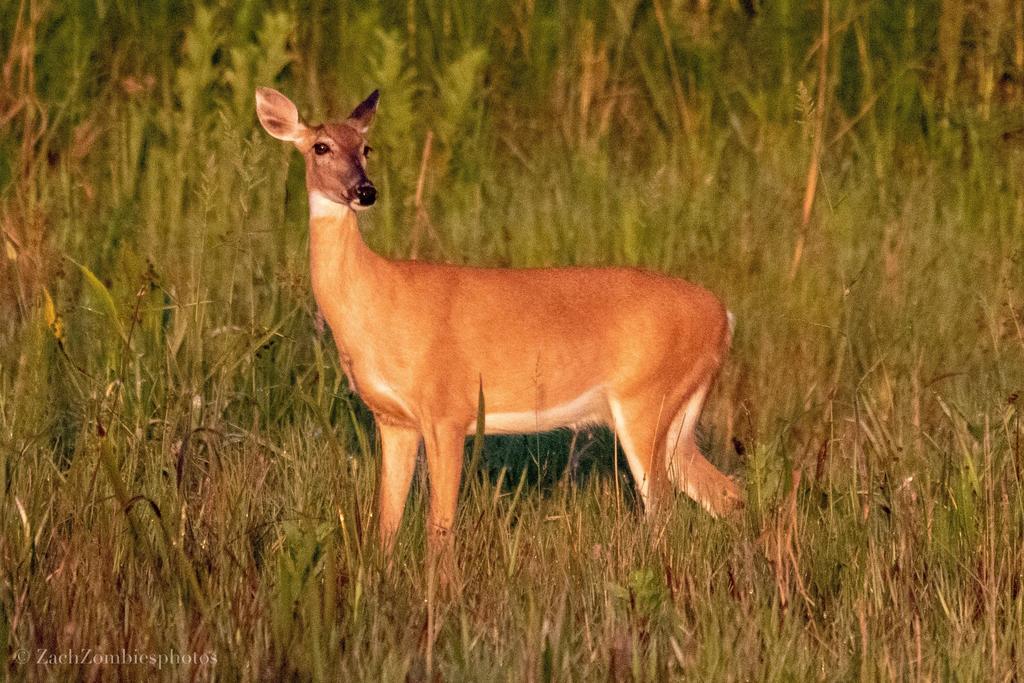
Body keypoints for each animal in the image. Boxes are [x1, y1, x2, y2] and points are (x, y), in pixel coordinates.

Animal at [255, 86, 743, 558]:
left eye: (366, 147)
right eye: (321, 146)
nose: (365, 191)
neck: (377, 298)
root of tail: (724, 316)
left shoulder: (448, 410)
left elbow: (439, 528)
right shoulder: (394, 420)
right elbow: (386, 525)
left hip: (645, 398)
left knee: (664, 510)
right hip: (676, 414)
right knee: (727, 494)